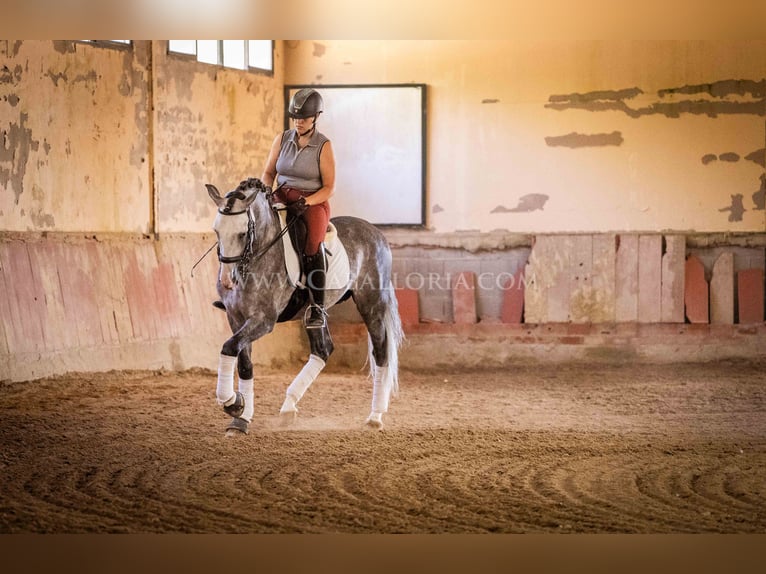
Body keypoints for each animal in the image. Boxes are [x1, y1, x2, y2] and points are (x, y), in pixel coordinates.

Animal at [206, 177, 408, 436]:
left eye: (242, 234)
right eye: (216, 231)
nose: (227, 281)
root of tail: (375, 232)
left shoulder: (263, 320)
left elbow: (229, 347)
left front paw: (232, 404)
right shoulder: (236, 318)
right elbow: (243, 363)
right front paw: (241, 417)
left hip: (371, 304)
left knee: (381, 351)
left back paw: (375, 417)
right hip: (314, 313)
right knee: (323, 349)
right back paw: (289, 406)